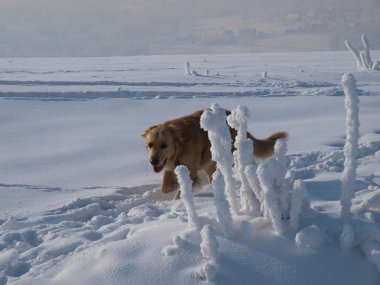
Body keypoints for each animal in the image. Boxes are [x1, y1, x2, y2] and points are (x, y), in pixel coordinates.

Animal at [143, 108, 288, 197]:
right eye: (150, 145)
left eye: (164, 145)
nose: (153, 161)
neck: (181, 145)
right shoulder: (170, 166)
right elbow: (165, 188)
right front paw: (174, 185)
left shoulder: (190, 170)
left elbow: (181, 192)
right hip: (209, 163)